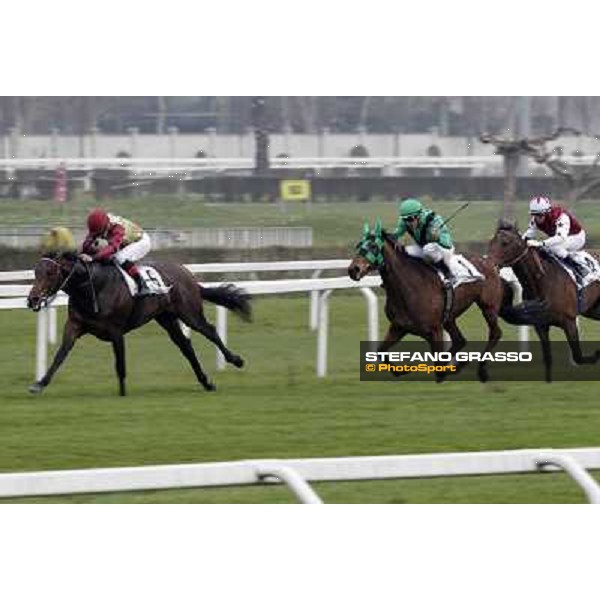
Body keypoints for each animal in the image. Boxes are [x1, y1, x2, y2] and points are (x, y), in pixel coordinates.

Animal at [25, 252, 251, 396]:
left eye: (50, 273)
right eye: (35, 272)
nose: (32, 299)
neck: (93, 287)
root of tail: (189, 275)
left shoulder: (116, 331)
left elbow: (120, 364)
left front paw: (123, 393)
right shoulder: (74, 326)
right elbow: (60, 355)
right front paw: (39, 384)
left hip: (189, 313)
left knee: (210, 331)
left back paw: (236, 360)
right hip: (167, 319)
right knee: (186, 347)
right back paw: (206, 382)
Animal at [346, 221, 540, 384]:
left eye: (373, 246)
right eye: (358, 245)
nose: (353, 269)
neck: (408, 286)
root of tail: (491, 262)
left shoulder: (434, 330)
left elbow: (438, 368)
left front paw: (449, 368)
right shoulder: (398, 327)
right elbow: (380, 351)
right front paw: (401, 370)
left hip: (488, 306)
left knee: (495, 333)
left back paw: (480, 370)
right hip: (449, 317)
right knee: (460, 340)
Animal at [488, 219, 600, 380]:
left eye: (505, 242)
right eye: (491, 241)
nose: (487, 263)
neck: (543, 280)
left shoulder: (569, 321)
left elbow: (578, 356)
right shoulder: (540, 324)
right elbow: (547, 358)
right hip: (593, 309)